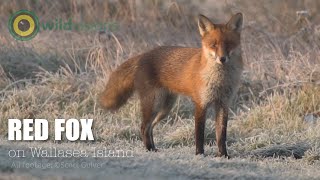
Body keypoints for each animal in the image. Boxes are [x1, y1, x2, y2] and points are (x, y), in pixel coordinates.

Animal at [100, 12, 242, 157]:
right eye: (213, 45)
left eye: (229, 44)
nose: (222, 59)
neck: (220, 80)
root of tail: (144, 55)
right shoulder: (201, 104)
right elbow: (199, 134)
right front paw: (199, 154)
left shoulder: (223, 104)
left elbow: (221, 135)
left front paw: (223, 155)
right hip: (154, 104)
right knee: (144, 126)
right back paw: (149, 149)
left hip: (165, 108)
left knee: (150, 127)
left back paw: (154, 148)